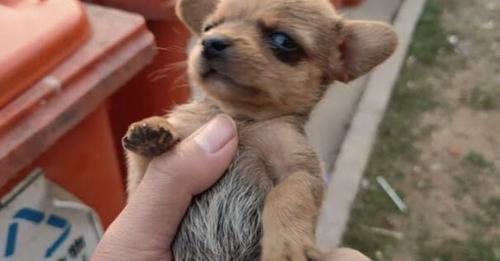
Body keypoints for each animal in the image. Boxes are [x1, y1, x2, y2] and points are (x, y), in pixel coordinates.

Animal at [123, 0, 396, 258]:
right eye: (209, 27)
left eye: (283, 40)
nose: (210, 42)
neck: (242, 120)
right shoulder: (141, 180)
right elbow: (144, 158)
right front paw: (152, 129)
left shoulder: (302, 171)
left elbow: (288, 192)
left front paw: (287, 246)